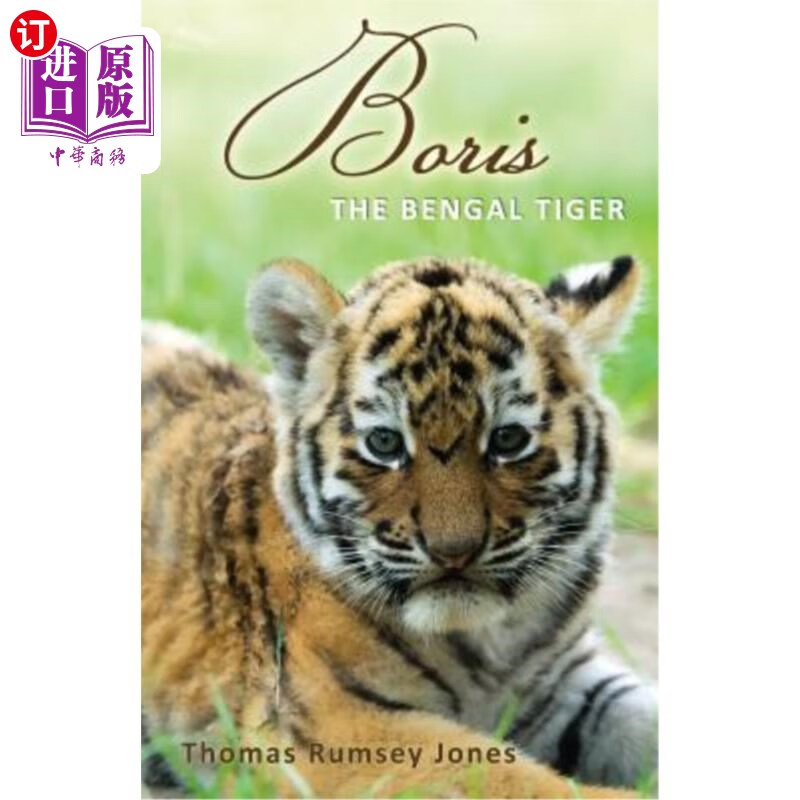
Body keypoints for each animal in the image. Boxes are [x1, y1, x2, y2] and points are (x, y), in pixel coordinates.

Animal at [142, 255, 657, 799]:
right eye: (385, 443)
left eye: (509, 440)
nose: (454, 552)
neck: (489, 645)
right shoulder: (332, 721)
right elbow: (512, 775)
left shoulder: (563, 679)